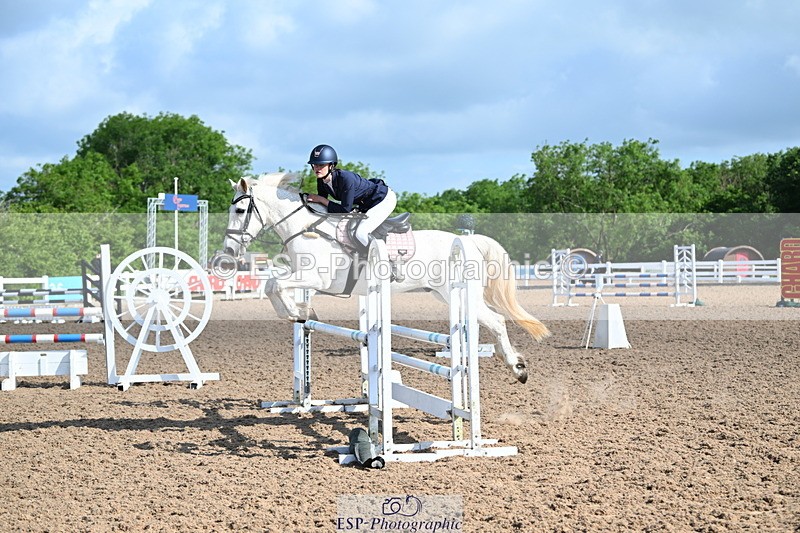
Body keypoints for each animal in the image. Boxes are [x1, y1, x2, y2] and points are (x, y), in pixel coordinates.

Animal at [220, 172, 550, 384]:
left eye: (240, 208)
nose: (229, 251)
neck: (306, 229)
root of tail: (467, 241)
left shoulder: (317, 279)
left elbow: (275, 284)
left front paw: (296, 311)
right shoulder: (301, 274)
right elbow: (271, 283)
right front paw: (300, 312)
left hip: (461, 294)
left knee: (497, 321)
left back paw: (518, 368)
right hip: (443, 294)